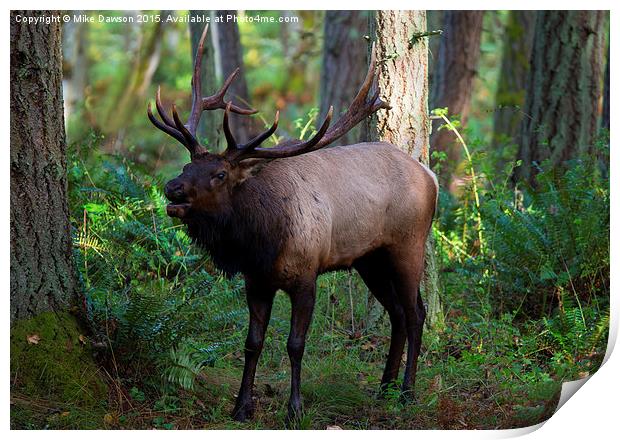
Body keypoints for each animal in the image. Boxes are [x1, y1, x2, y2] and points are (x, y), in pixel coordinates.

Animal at [147, 25, 436, 424]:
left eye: (220, 174)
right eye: (188, 166)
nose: (172, 188)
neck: (262, 242)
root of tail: (431, 177)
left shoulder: (306, 276)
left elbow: (295, 344)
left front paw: (294, 410)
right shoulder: (256, 282)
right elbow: (252, 343)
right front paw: (242, 407)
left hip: (408, 244)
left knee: (414, 313)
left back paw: (407, 392)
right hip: (369, 259)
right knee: (395, 313)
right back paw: (384, 388)